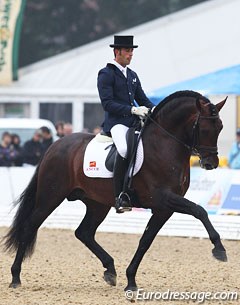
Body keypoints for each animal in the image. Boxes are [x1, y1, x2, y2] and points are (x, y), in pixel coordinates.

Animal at [4, 89, 227, 290]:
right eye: (204, 128)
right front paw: (219, 249)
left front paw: (131, 280)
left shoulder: (164, 208)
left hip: (97, 203)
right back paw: (15, 277)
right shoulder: (164, 198)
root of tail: (55, 145)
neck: (165, 144)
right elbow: (200, 210)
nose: (211, 163)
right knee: (30, 226)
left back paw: (110, 270)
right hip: (50, 196)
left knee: (84, 232)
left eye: (221, 127)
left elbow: (145, 241)